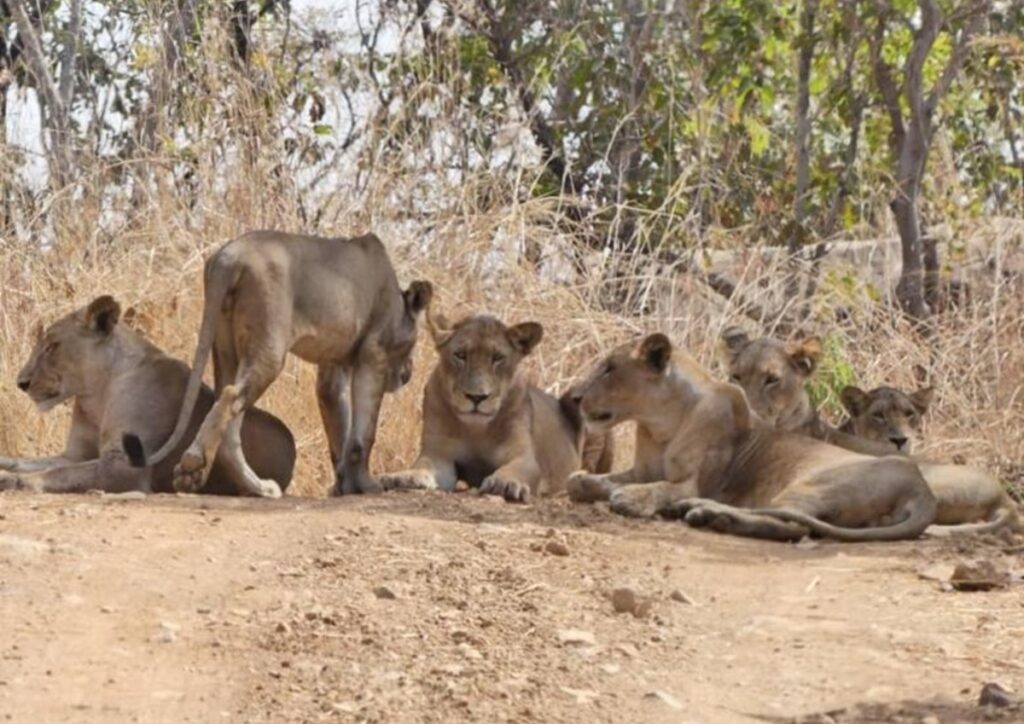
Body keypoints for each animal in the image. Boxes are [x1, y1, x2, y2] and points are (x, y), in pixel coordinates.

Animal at [1, 296, 296, 495]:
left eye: (52, 346)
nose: (21, 383)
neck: (96, 393)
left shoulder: (126, 465)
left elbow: (57, 472)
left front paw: (12, 480)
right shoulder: (75, 454)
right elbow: (31, 463)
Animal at [130, 230, 430, 497]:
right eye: (412, 345)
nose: (408, 374)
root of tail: (228, 256)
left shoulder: (334, 366)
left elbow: (340, 433)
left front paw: (343, 487)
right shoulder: (375, 353)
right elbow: (362, 435)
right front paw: (368, 486)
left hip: (225, 347)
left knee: (227, 420)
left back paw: (256, 488)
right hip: (270, 346)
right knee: (230, 397)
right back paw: (193, 467)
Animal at [382, 311, 606, 503]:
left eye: (497, 358)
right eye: (460, 355)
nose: (476, 397)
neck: (476, 430)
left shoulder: (523, 456)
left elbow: (515, 470)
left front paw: (505, 483)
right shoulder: (439, 455)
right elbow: (424, 466)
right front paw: (405, 476)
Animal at [569, 331, 937, 540]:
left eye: (609, 369)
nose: (574, 397)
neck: (660, 425)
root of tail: (922, 489)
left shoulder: (699, 481)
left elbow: (662, 488)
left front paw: (633, 498)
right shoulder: (639, 470)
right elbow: (586, 481)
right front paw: (589, 482)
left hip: (812, 484)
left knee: (794, 524)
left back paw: (703, 511)